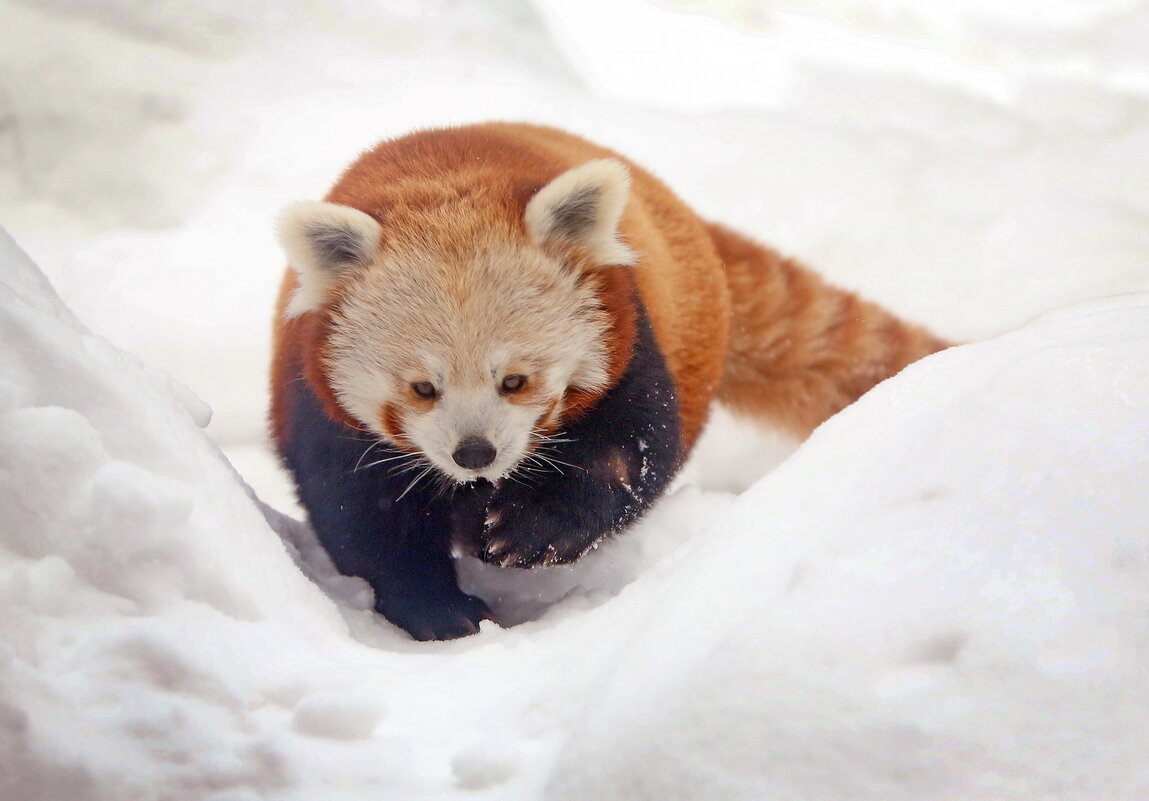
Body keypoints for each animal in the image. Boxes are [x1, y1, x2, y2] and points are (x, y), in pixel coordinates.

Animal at [271, 121, 951, 638]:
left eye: (515, 381)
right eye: (422, 389)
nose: (475, 454)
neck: (445, 172)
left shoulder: (628, 336)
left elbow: (626, 455)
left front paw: (529, 533)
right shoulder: (315, 392)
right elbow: (365, 516)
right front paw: (439, 613)